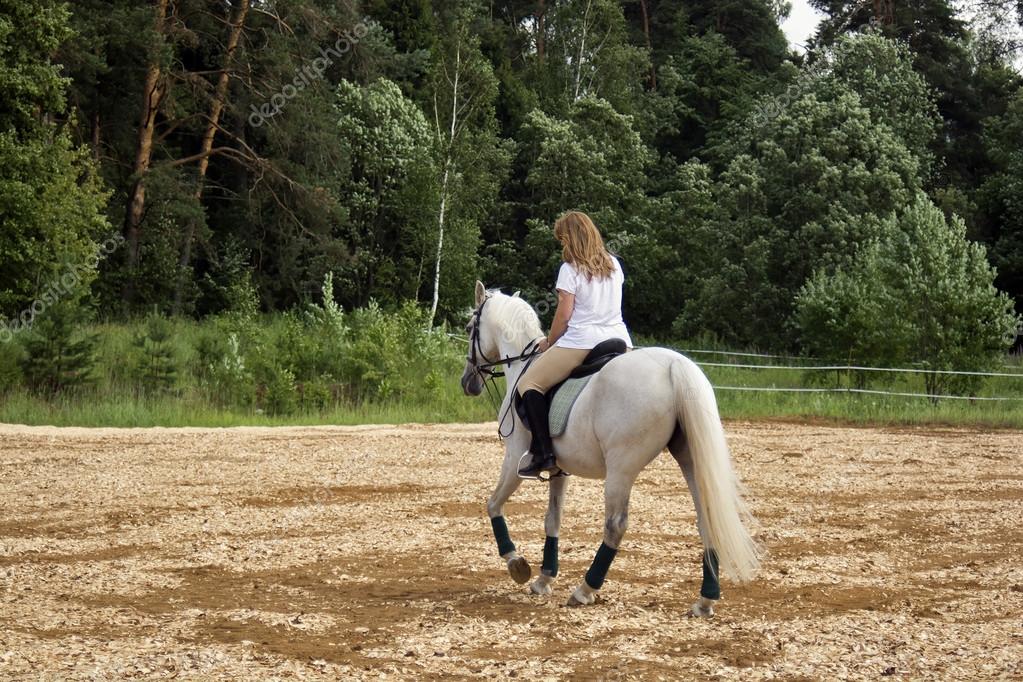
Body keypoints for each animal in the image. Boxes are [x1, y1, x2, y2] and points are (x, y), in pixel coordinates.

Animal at [462, 282, 761, 613]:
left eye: (469, 328)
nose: (468, 382)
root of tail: (673, 365)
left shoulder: (515, 457)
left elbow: (493, 504)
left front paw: (516, 563)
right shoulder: (559, 470)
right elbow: (553, 519)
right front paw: (544, 578)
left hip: (621, 467)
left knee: (615, 525)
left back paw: (585, 589)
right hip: (690, 460)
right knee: (706, 517)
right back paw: (705, 599)